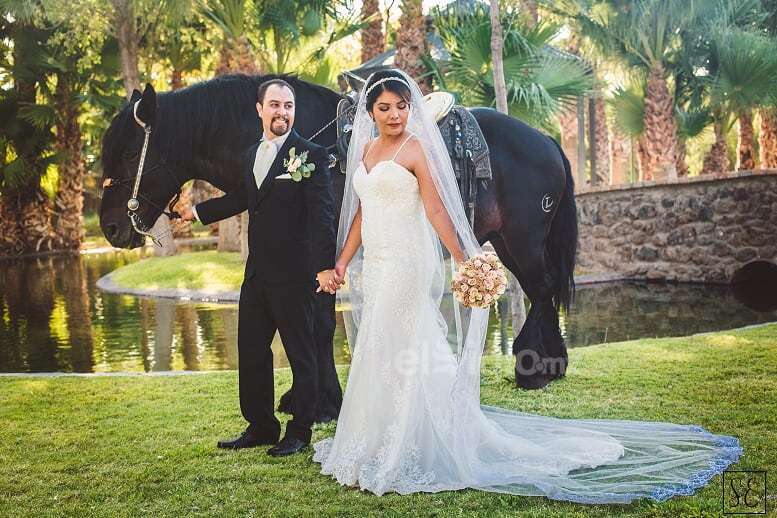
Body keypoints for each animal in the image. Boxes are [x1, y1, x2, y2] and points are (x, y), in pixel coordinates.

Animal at [100, 73, 576, 392]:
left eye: (130, 154)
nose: (111, 226)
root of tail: (548, 142)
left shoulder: (323, 256)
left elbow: (319, 325)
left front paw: (321, 401)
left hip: (524, 240)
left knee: (543, 287)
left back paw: (535, 369)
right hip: (507, 242)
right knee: (541, 289)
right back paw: (549, 364)